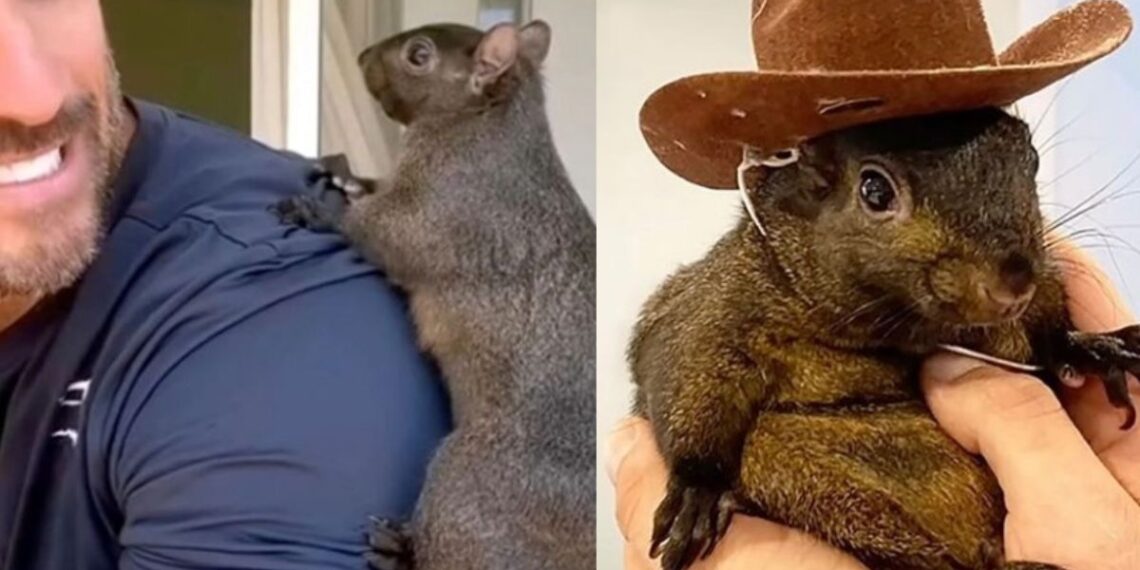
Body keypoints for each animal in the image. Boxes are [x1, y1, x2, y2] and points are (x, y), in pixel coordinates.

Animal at [277, 20, 595, 570]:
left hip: (469, 482)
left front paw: (323, 210)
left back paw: (398, 551)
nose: (362, 56)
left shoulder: (450, 209)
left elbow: (388, 232)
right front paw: (346, 174)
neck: (487, 126)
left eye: (418, 55)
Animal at [629, 107, 1140, 570]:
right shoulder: (717, 306)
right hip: (789, 468)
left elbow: (1047, 323)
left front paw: (1090, 347)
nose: (1013, 283)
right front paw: (697, 489)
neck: (896, 330)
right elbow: (687, 371)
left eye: (1030, 160)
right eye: (874, 191)